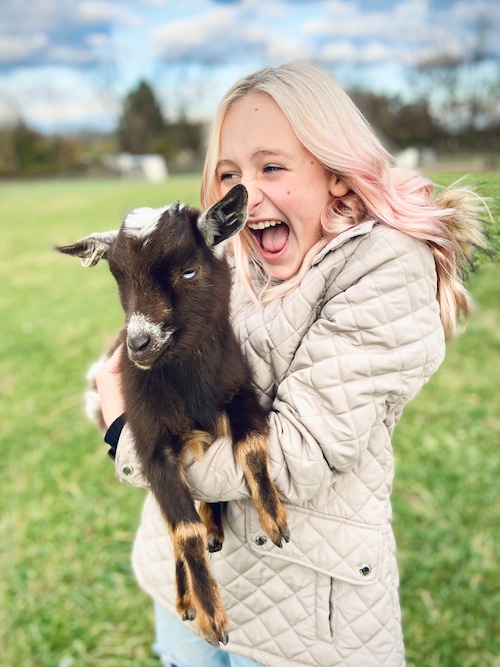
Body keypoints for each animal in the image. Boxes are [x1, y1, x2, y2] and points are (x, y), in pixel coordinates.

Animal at [56, 184, 290, 648]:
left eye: (189, 272)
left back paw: (215, 527)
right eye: (119, 278)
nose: (138, 344)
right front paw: (211, 618)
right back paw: (186, 597)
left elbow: (252, 446)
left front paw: (274, 520)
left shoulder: (240, 392)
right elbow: (183, 531)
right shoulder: (150, 444)